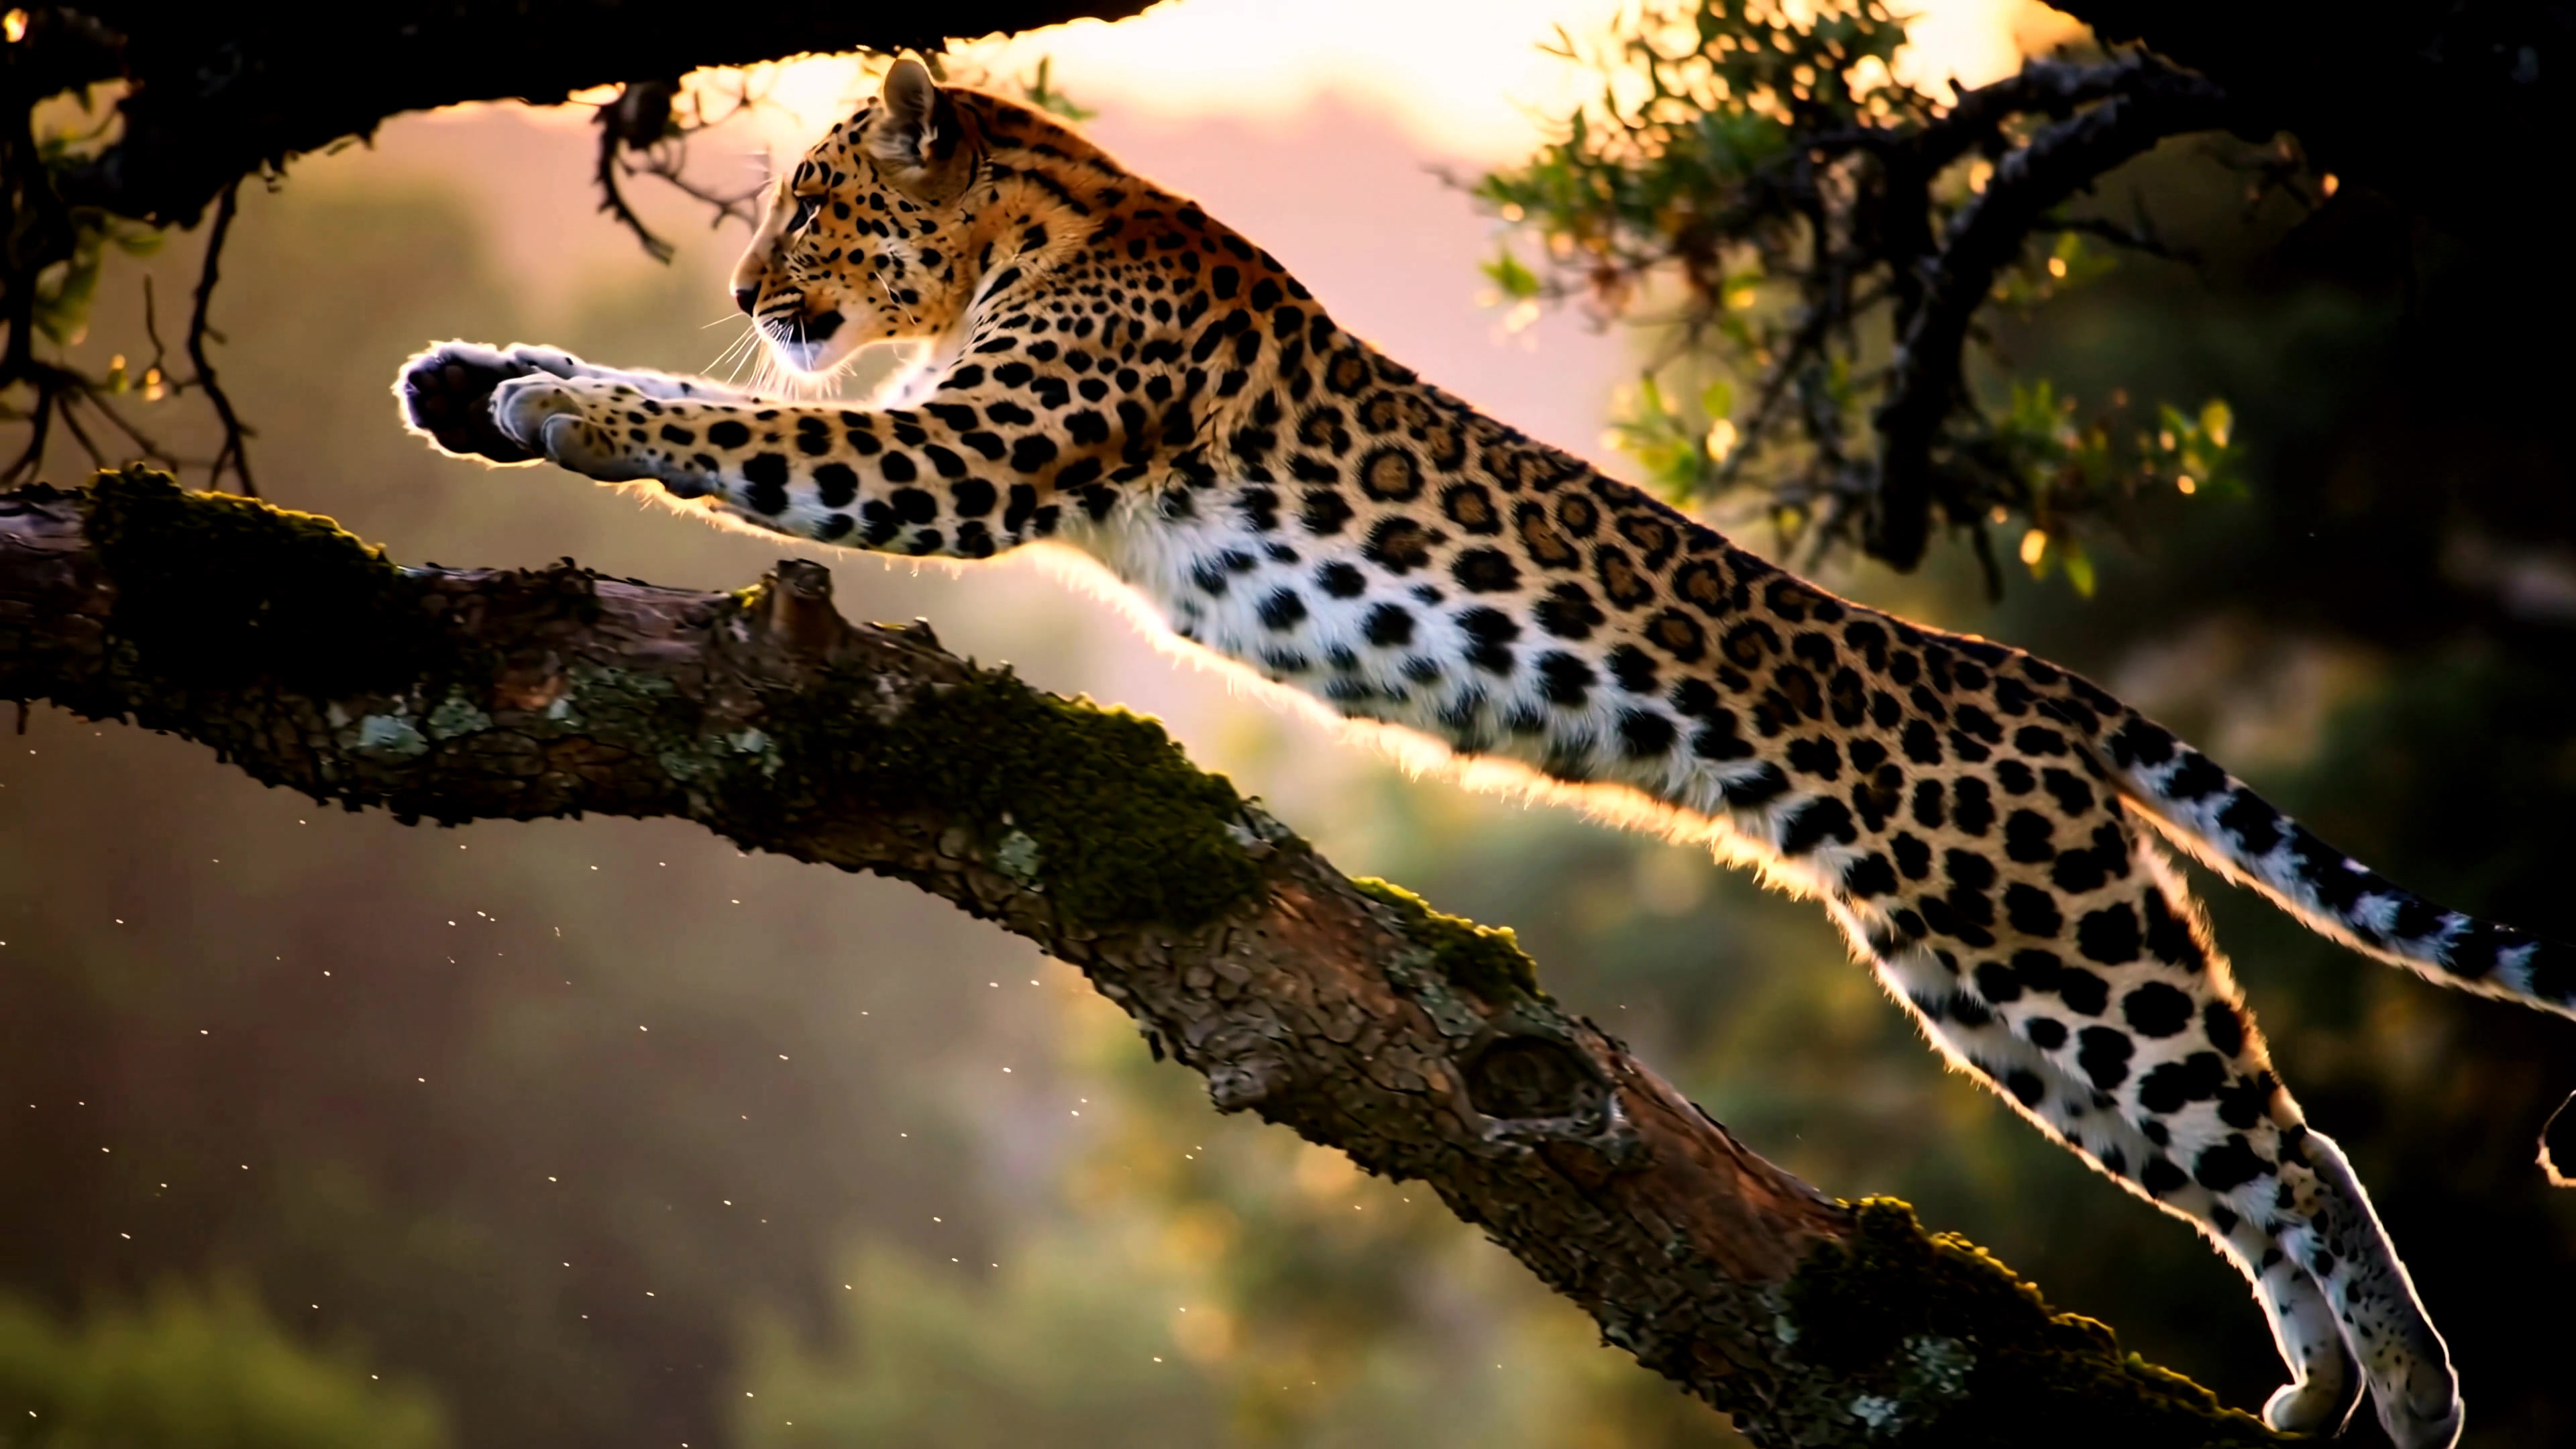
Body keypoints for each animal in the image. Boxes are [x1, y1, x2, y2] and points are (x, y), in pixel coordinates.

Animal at [396, 57, 2574, 1449]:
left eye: (811, 207)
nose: (752, 287)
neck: (1043, 213)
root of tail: (2011, 676)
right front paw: (472, 377)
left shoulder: (962, 454)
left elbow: (730, 427)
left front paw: (556, 405)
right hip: (1978, 978)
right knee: (2229, 1159)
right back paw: (2310, 1387)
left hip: (2036, 937)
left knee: (2282, 1139)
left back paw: (2408, 1386)